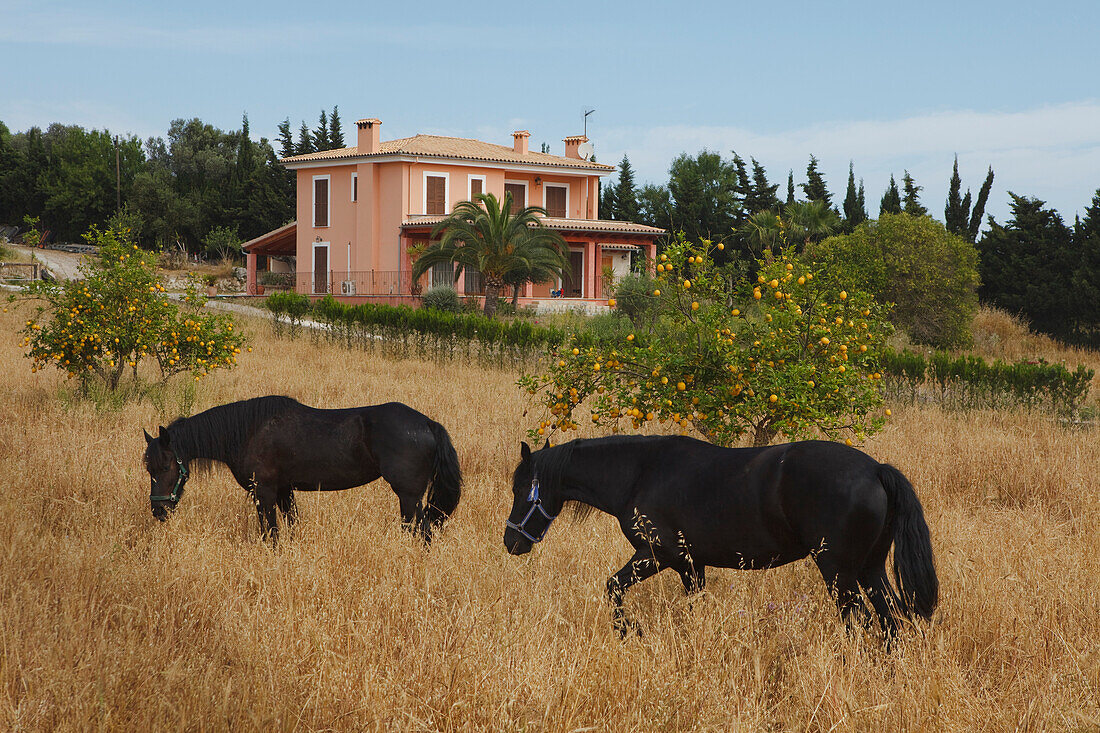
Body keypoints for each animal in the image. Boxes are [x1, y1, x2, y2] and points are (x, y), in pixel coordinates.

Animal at [143, 394, 459, 541]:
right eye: (149, 469)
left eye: (165, 465)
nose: (158, 511)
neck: (248, 431)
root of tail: (427, 423)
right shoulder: (285, 491)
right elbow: (291, 526)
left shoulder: (265, 492)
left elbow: (270, 532)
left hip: (408, 496)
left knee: (422, 531)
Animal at [503, 433, 937, 638]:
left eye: (520, 488)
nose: (512, 542)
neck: (640, 473)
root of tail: (875, 469)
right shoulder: (691, 566)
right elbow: (694, 608)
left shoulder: (658, 555)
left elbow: (612, 587)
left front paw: (630, 631)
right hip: (870, 571)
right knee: (891, 623)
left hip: (839, 573)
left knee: (859, 623)